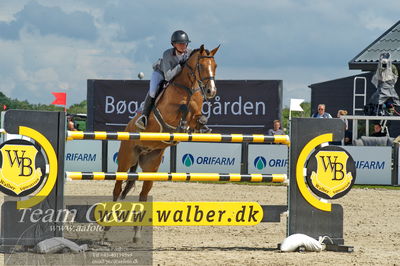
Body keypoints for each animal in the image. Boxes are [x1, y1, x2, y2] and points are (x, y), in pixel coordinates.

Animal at [111, 45, 219, 204]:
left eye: (215, 66)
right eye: (201, 66)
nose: (211, 91)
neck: (188, 87)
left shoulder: (196, 112)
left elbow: (198, 116)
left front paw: (200, 126)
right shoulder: (168, 112)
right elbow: (184, 107)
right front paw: (183, 124)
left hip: (152, 163)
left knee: (144, 193)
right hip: (126, 158)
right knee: (117, 189)